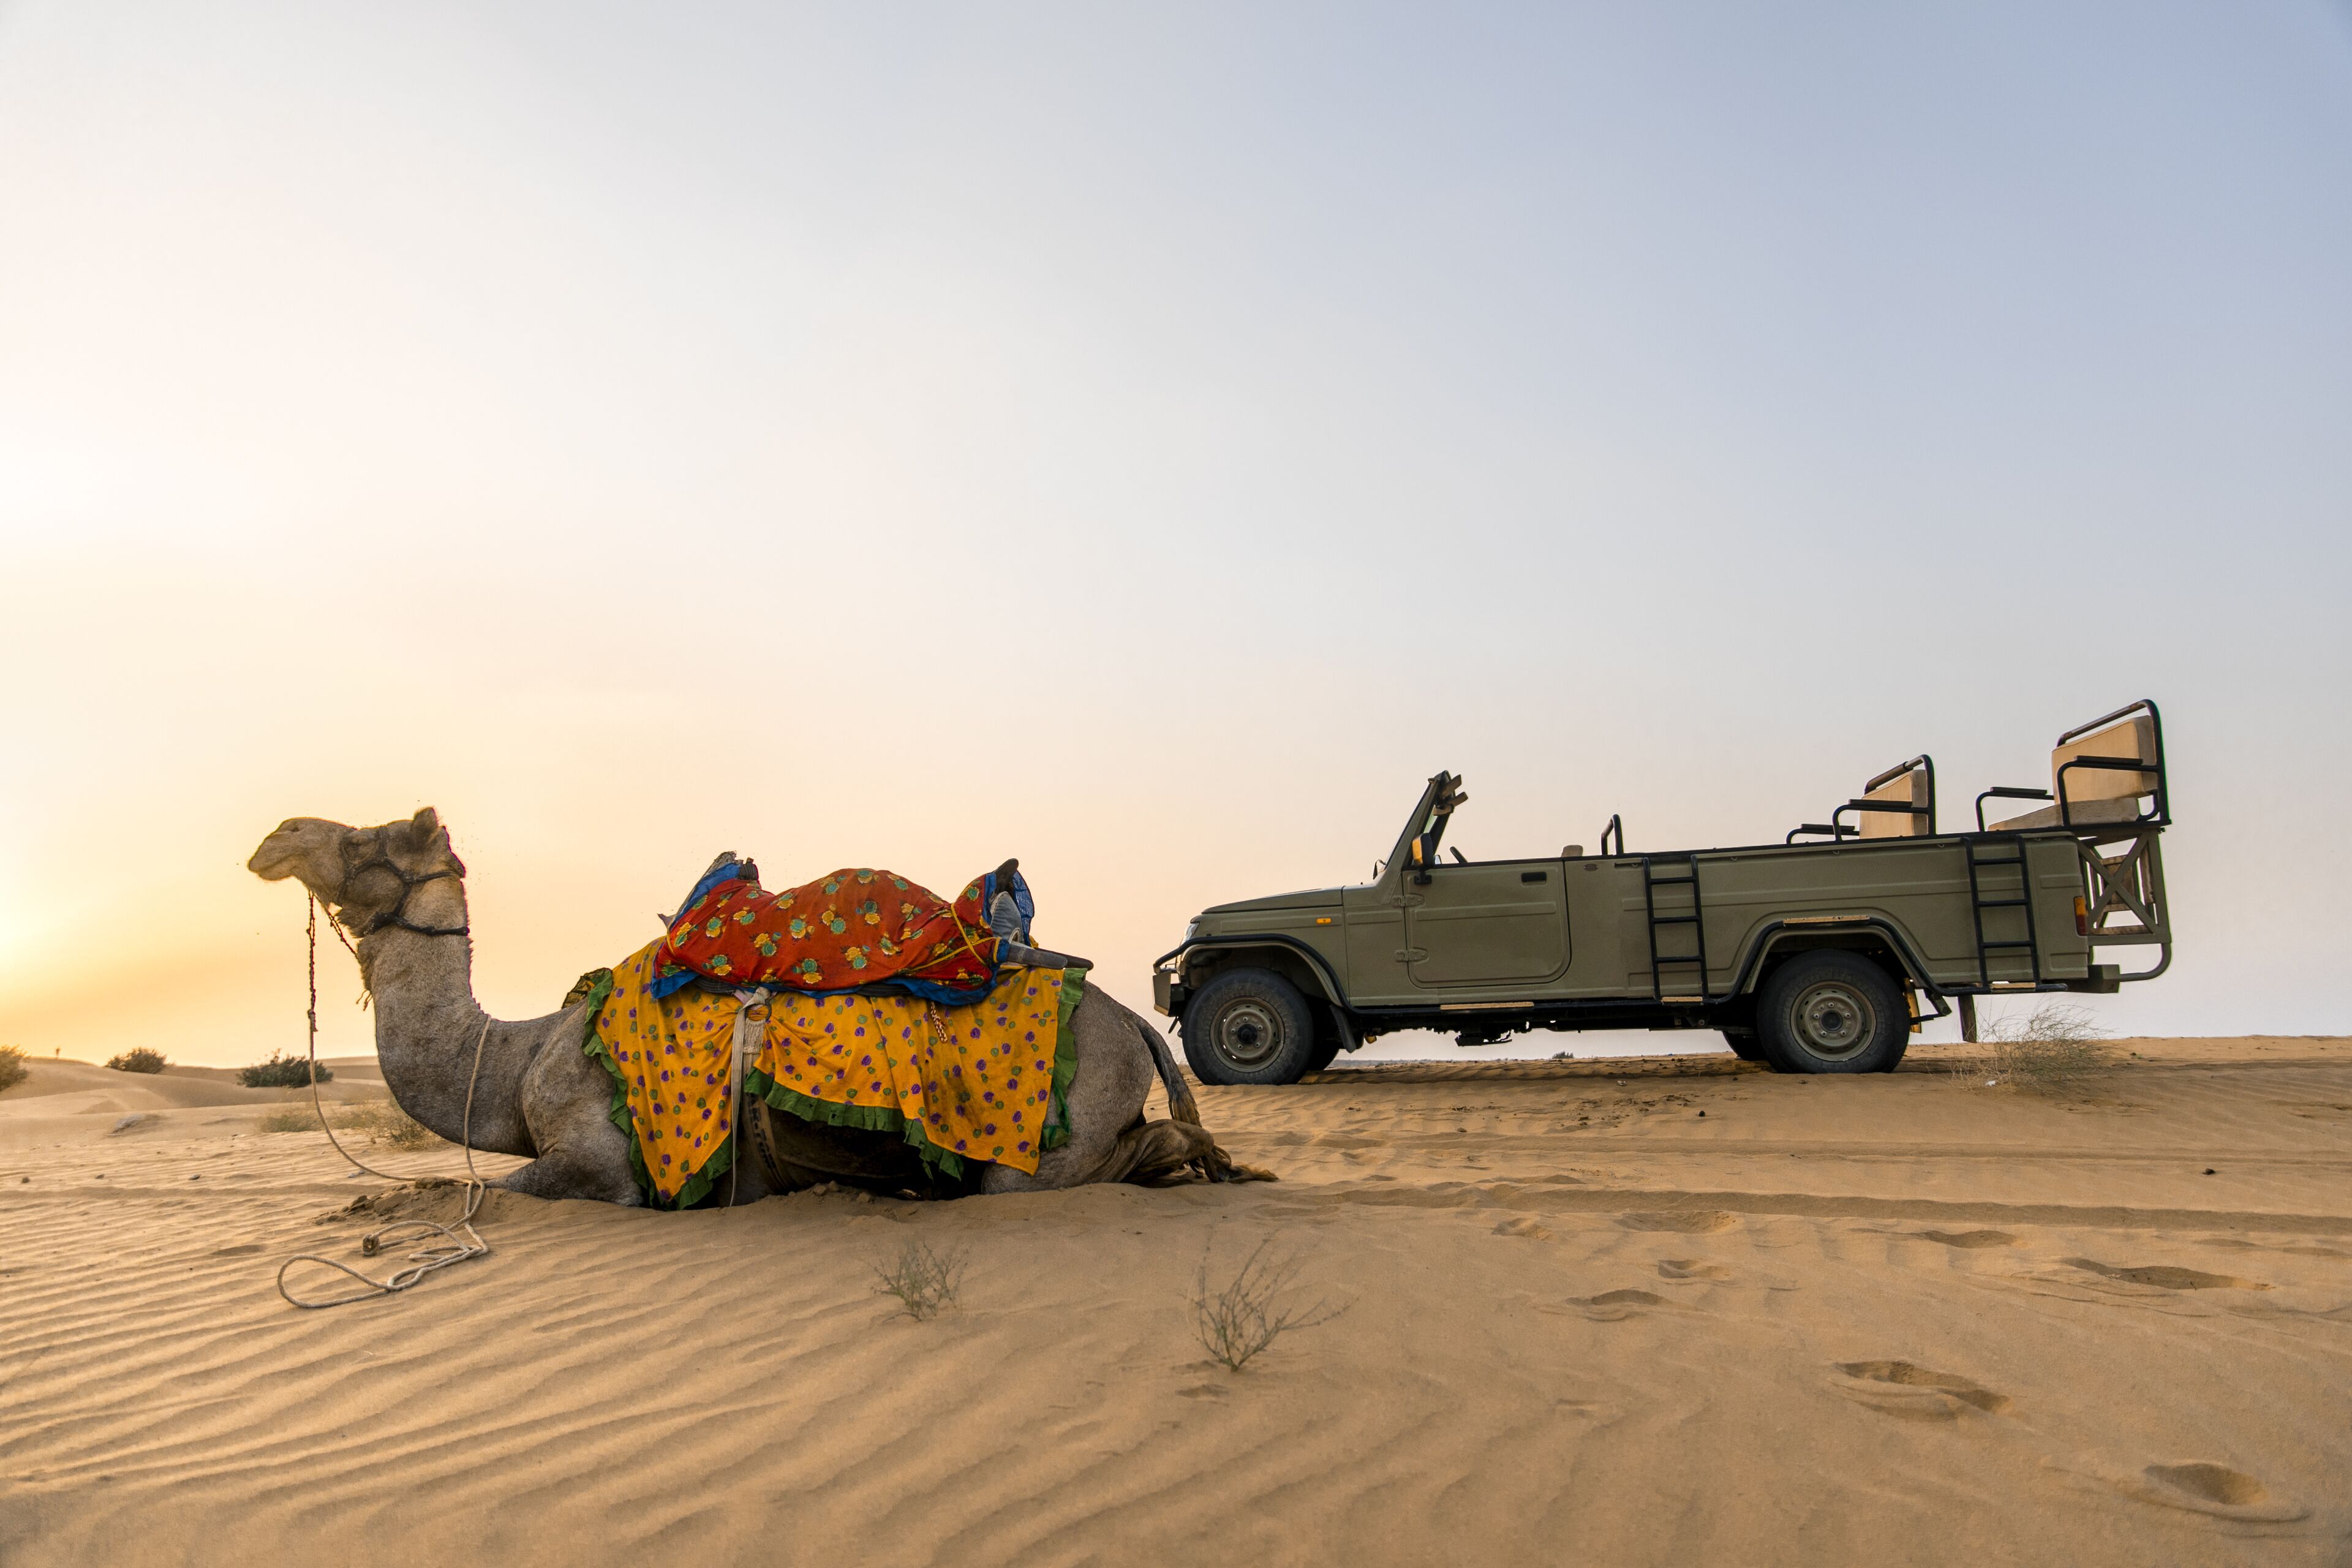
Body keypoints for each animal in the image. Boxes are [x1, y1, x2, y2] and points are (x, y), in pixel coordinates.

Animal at [247, 808, 1250, 1206]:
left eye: (375, 838)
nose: (278, 835)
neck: (513, 1060)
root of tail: (1134, 1023)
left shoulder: (605, 1162)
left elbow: (481, 1189)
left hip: (1038, 1147)